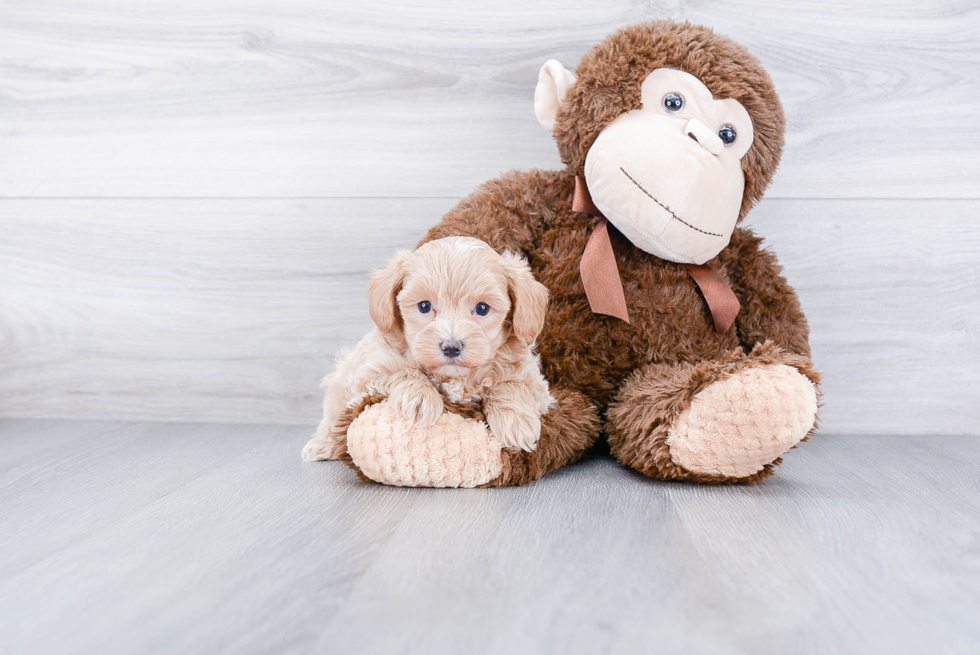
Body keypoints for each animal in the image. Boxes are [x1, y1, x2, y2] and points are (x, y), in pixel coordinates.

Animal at [300, 236, 552, 462]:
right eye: (424, 306)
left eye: (482, 308)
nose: (451, 347)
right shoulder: (368, 370)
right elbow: (402, 370)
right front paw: (420, 397)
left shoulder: (535, 381)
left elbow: (512, 383)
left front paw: (516, 422)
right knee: (332, 421)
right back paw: (322, 445)